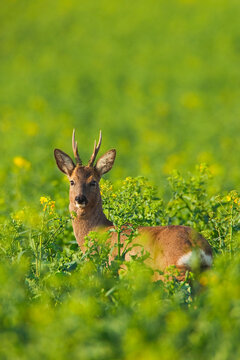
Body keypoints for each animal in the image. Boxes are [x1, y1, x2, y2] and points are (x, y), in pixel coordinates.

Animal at [54, 131, 212, 280]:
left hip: (171, 271)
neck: (101, 231)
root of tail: (197, 249)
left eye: (93, 182)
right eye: (72, 181)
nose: (80, 198)